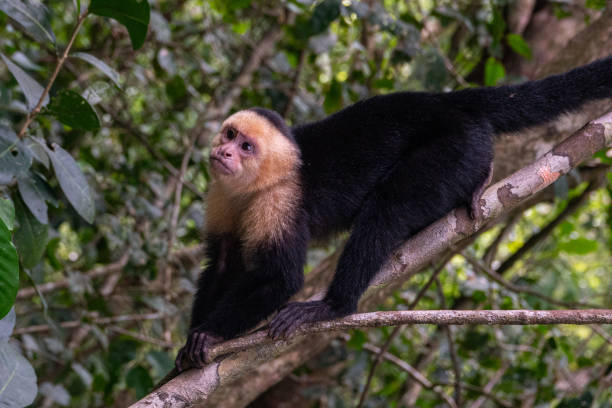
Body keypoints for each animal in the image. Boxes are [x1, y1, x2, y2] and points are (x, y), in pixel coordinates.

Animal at [175, 55, 612, 372]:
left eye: (247, 147)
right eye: (230, 135)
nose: (224, 152)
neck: (260, 184)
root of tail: (444, 100)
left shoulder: (280, 202)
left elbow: (281, 278)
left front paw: (211, 336)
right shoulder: (221, 194)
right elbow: (223, 262)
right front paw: (188, 348)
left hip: (456, 145)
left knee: (388, 206)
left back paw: (335, 305)